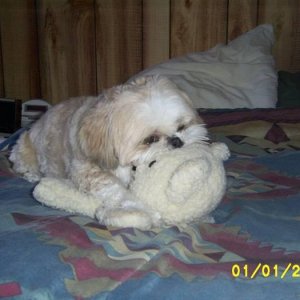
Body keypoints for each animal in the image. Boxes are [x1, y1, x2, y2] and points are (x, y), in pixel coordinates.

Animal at [9, 76, 209, 223]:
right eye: (150, 139)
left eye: (182, 126)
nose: (177, 141)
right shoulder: (89, 172)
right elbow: (118, 190)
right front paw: (146, 212)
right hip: (24, 147)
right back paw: (32, 175)